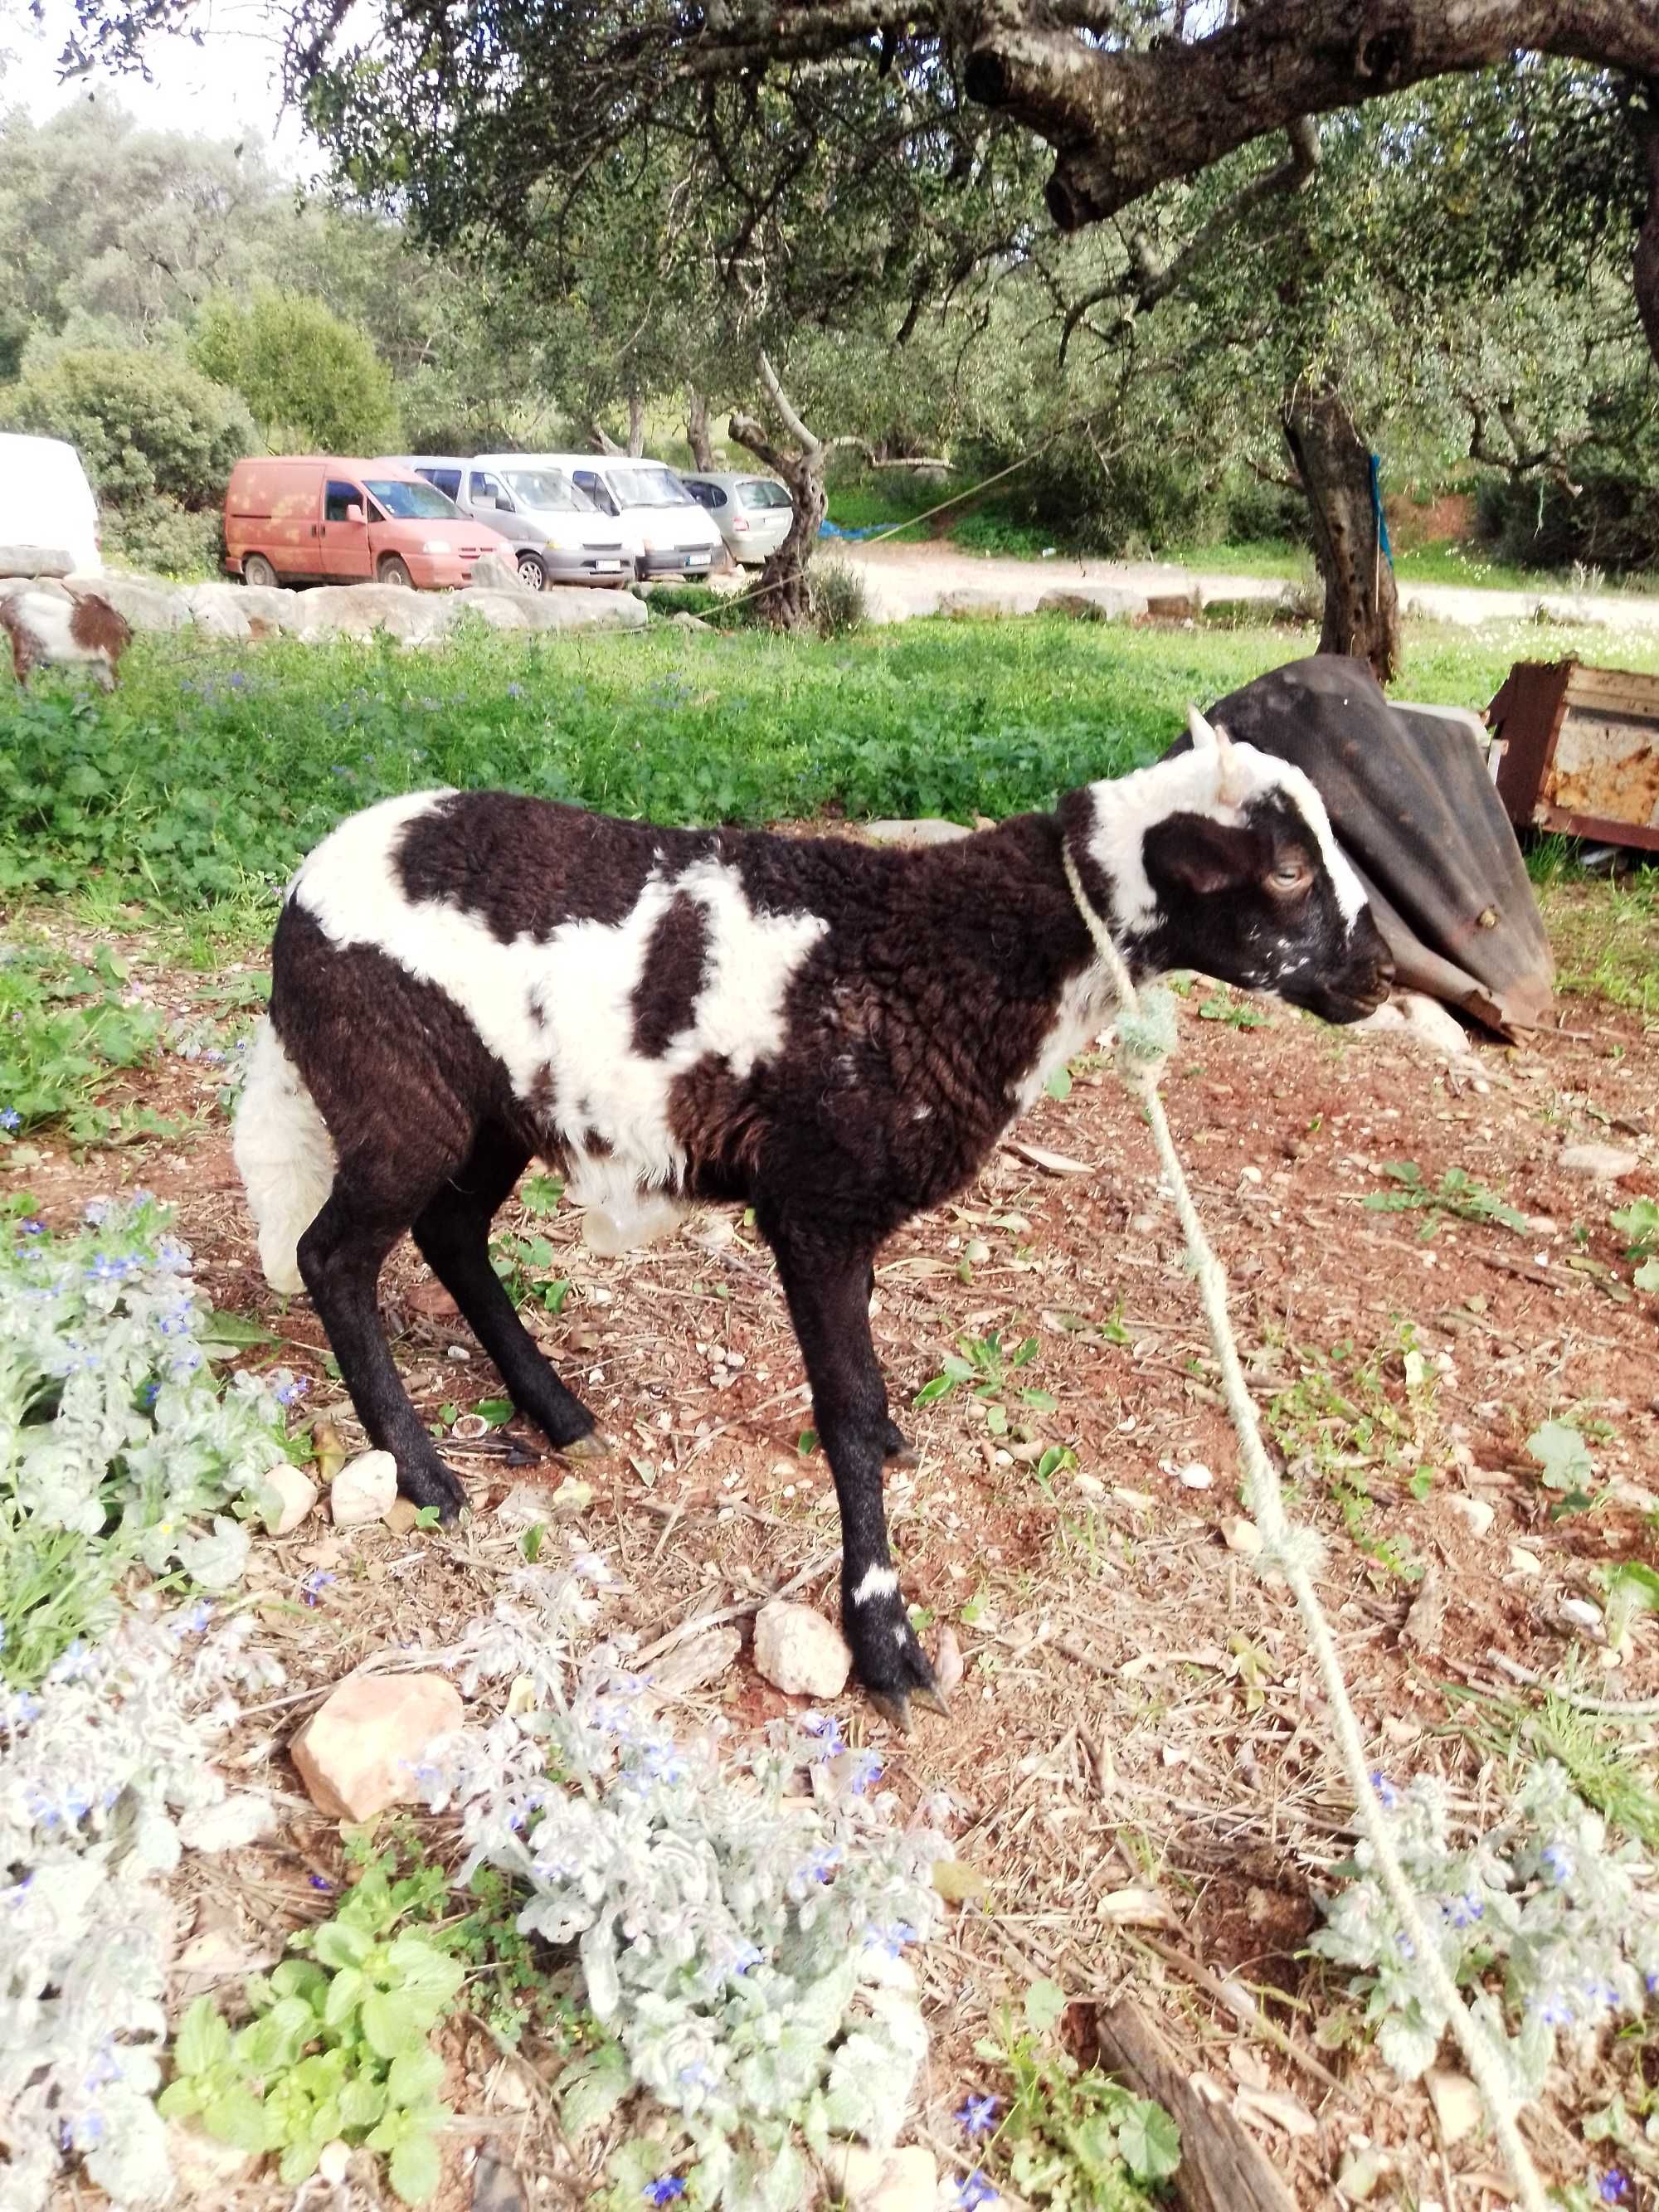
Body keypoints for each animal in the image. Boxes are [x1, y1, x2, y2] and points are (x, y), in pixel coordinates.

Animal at [240, 707, 1398, 1725]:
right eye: (1287, 870)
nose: (1380, 977)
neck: (982, 948)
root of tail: (301, 895)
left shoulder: (850, 1213)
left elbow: (865, 1380)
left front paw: (888, 1449)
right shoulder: (815, 1205)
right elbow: (840, 1406)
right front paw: (883, 1637)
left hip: (488, 1106)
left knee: (451, 1235)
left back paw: (557, 1413)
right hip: (395, 1089)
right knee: (332, 1256)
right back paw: (422, 1471)